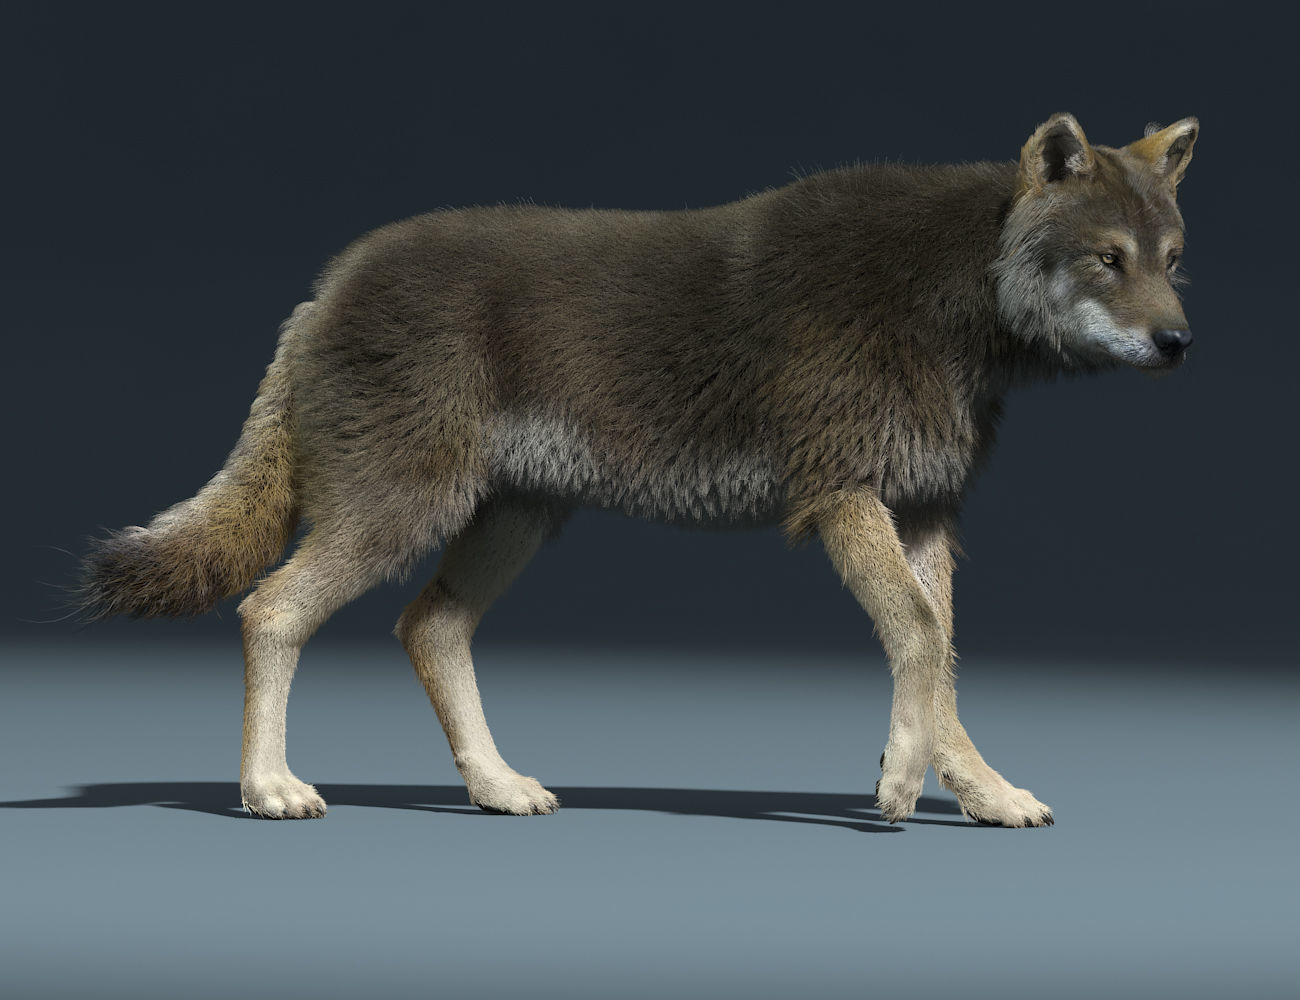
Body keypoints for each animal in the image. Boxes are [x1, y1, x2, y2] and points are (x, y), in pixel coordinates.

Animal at [79, 113, 1197, 827]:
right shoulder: (843, 500)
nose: (1181, 343)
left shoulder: (923, 512)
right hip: (404, 513)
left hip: (513, 520)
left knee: (427, 627)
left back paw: (496, 786)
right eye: (1107, 258)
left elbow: (941, 659)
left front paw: (972, 791)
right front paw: (897, 787)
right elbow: (920, 640)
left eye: (1172, 258)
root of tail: (322, 290)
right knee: (270, 610)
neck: (947, 291)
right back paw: (270, 789)